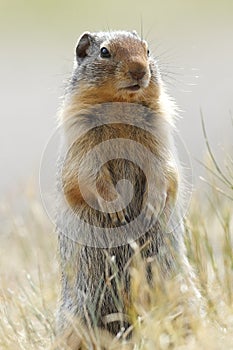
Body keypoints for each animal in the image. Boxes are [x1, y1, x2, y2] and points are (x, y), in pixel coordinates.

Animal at [55, 30, 198, 350]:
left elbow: (164, 172)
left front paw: (151, 206)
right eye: (104, 52)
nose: (139, 70)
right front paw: (116, 211)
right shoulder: (82, 143)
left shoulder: (158, 139)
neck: (120, 104)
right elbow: (86, 176)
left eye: (147, 50)